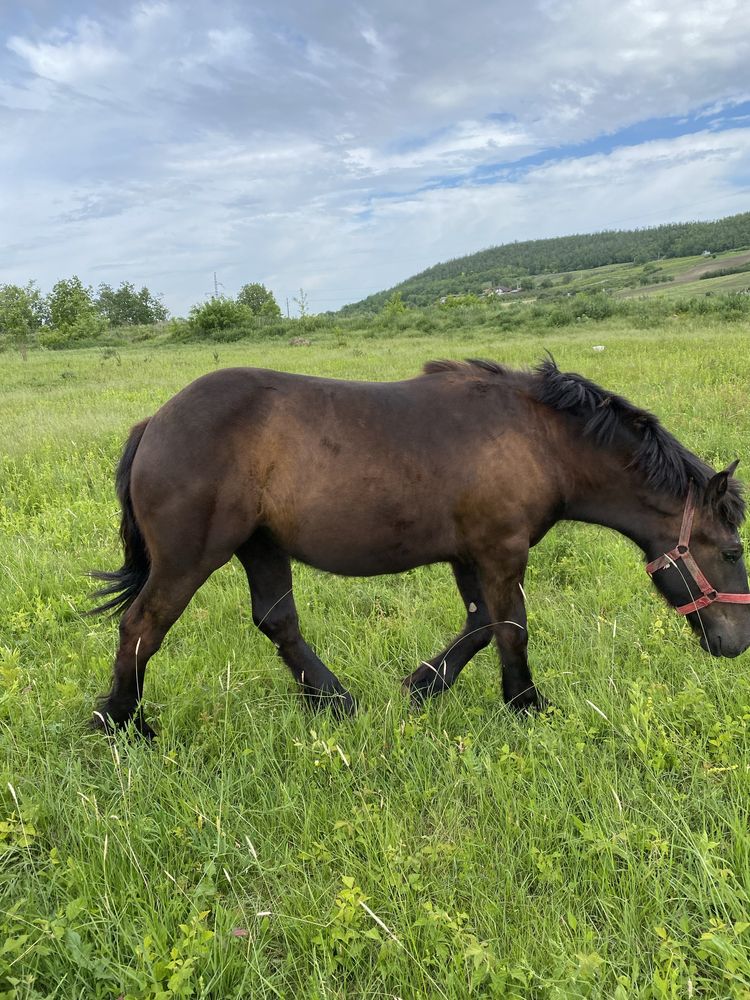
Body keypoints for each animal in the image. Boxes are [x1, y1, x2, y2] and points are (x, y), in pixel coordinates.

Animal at [89, 356, 750, 740]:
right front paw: (526, 705)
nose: (736, 643)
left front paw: (423, 685)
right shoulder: (501, 551)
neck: (539, 440)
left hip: (260, 546)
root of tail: (154, 422)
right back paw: (121, 723)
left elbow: (480, 627)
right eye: (732, 552)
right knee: (141, 626)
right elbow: (512, 628)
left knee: (277, 621)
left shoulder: (470, 556)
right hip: (190, 557)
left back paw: (334, 702)